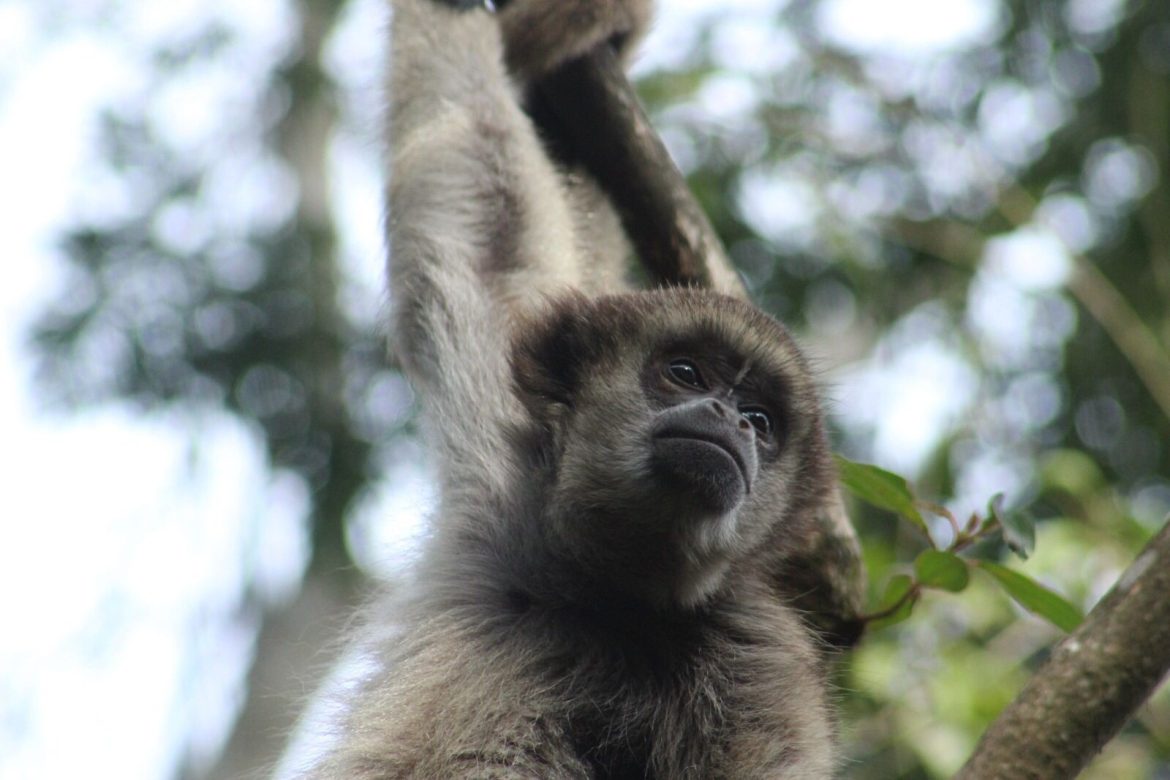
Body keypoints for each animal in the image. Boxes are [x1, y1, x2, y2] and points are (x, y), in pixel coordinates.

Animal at [301, 0, 866, 776]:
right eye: (685, 373)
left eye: (761, 419)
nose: (728, 420)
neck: (603, 594)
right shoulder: (504, 463)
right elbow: (481, 192)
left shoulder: (760, 659)